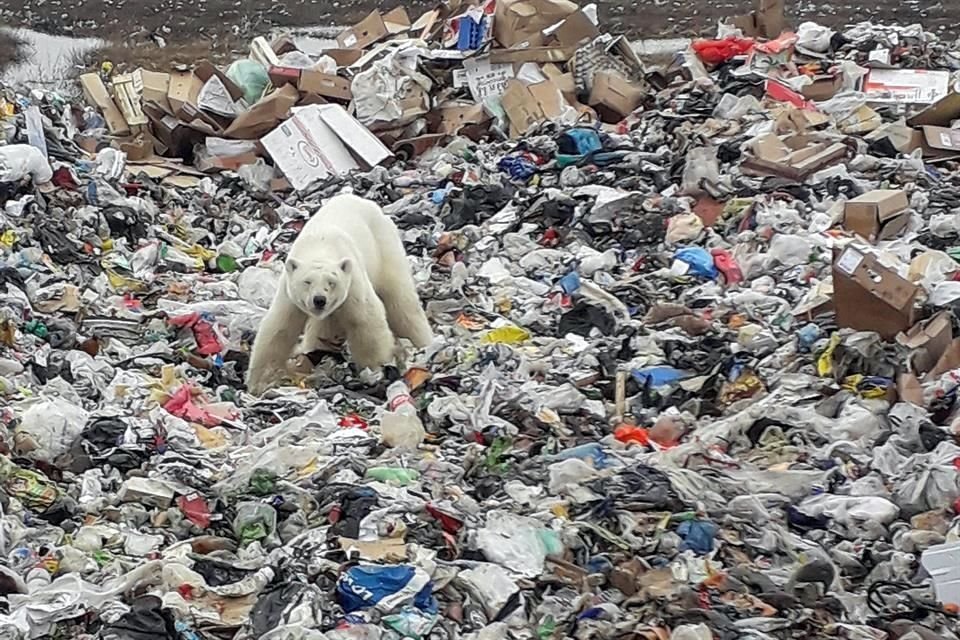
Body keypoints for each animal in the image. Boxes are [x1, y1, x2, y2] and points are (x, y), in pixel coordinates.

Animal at [246, 195, 434, 396]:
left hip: (384, 246)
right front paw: (259, 383)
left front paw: (374, 370)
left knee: (400, 300)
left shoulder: (352, 281)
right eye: (307, 282)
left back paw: (422, 343)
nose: (319, 300)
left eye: (331, 282)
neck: (320, 245)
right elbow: (279, 328)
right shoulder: (288, 293)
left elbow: (366, 320)